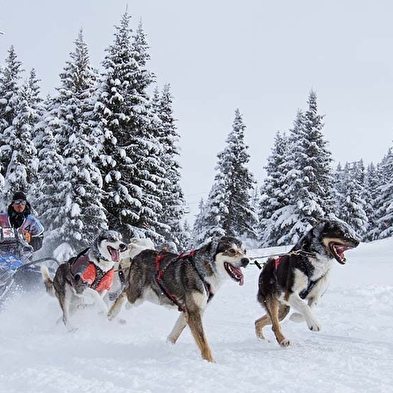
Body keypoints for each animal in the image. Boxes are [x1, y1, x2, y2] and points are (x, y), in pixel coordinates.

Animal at [107, 236, 248, 362]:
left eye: (244, 251)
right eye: (232, 250)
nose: (246, 260)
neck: (202, 270)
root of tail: (141, 252)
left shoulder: (189, 312)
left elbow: (174, 334)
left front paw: (167, 346)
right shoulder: (194, 313)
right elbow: (204, 343)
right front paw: (211, 362)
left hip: (149, 295)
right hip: (137, 296)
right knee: (124, 291)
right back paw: (112, 312)